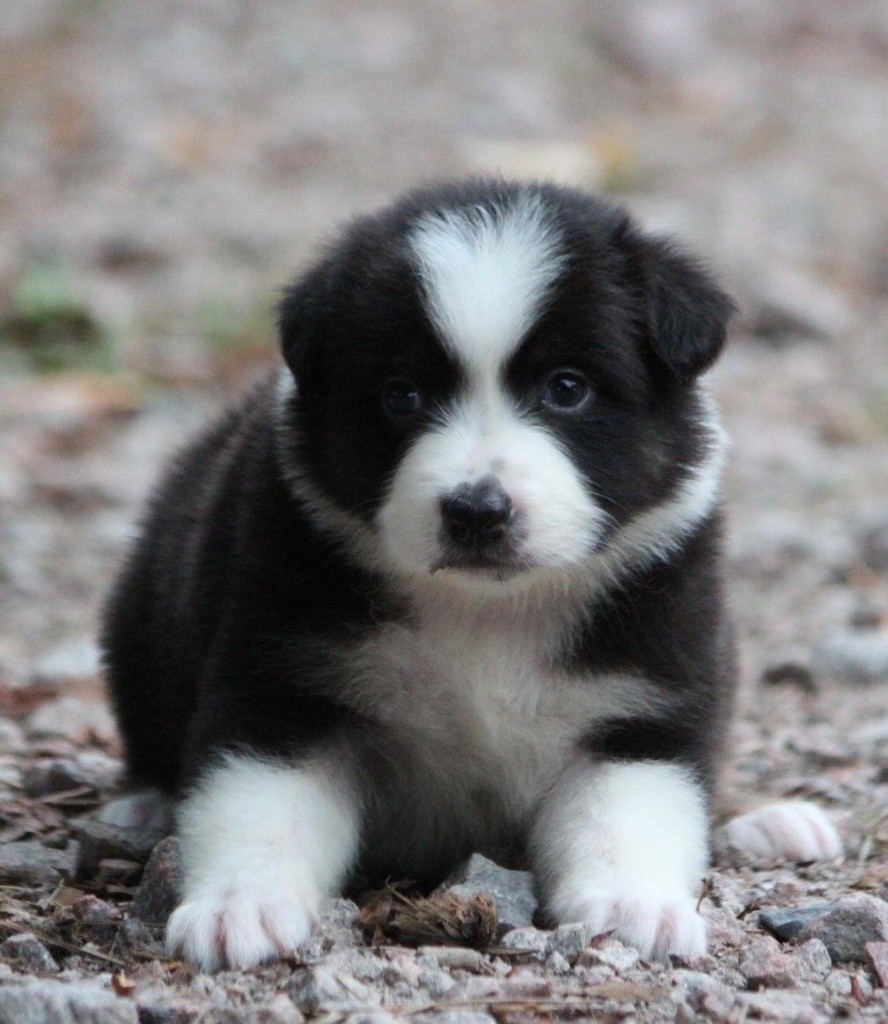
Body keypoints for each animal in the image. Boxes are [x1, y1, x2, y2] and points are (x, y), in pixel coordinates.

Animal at [102, 179, 841, 971]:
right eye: (401, 394)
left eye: (568, 387)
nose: (476, 511)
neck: (487, 610)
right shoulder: (284, 675)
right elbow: (259, 799)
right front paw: (239, 907)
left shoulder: (643, 693)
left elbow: (629, 809)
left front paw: (634, 908)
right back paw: (144, 804)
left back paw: (769, 823)